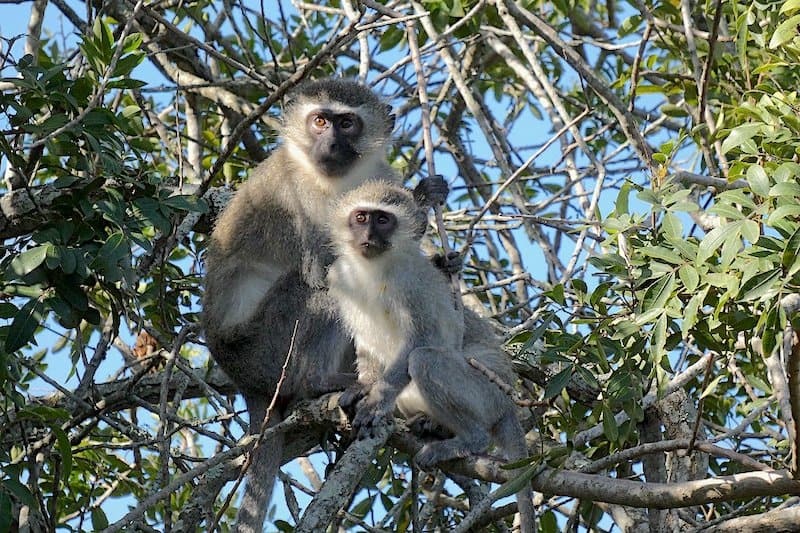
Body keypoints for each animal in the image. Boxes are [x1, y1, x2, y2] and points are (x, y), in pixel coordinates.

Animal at [203, 79, 444, 532]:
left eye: (347, 123)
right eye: (319, 120)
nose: (330, 142)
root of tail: (243, 379)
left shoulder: (381, 177)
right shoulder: (300, 202)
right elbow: (324, 270)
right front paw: (423, 203)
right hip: (267, 346)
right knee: (331, 289)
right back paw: (319, 383)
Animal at [324, 180, 536, 532]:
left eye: (383, 220)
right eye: (362, 217)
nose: (369, 236)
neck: (373, 268)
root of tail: (508, 405)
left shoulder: (414, 283)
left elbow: (424, 339)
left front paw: (375, 401)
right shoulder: (340, 277)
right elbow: (366, 344)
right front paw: (363, 387)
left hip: (486, 393)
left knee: (426, 360)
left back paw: (467, 440)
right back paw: (431, 426)